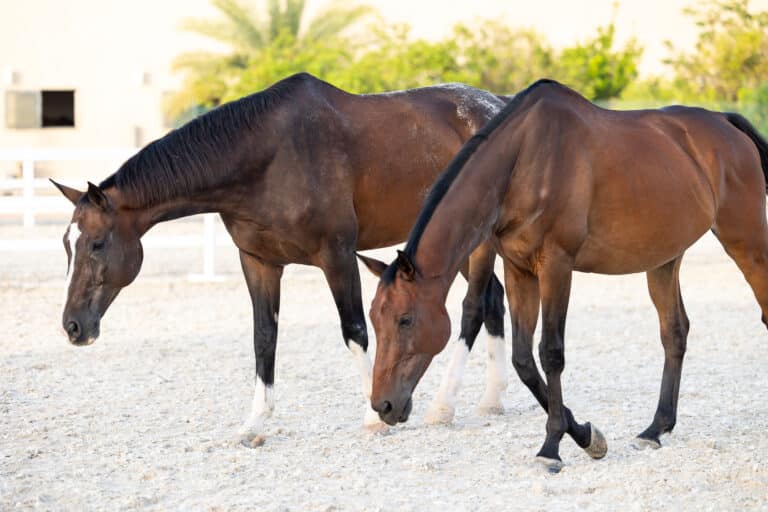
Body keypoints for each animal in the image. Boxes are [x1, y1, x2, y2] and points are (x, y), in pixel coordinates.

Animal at [52, 73, 510, 448]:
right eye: (66, 244)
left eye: (96, 244)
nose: (73, 327)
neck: (269, 157)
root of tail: (497, 104)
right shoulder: (258, 262)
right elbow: (264, 338)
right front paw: (254, 424)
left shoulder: (337, 255)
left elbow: (355, 330)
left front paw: (373, 418)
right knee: (493, 300)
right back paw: (492, 400)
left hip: (477, 241)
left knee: (473, 307)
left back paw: (444, 406)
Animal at [360, 77, 768, 472]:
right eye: (375, 320)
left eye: (405, 320)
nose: (383, 405)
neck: (522, 162)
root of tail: (725, 123)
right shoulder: (519, 270)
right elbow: (524, 360)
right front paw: (587, 436)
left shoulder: (556, 266)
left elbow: (551, 353)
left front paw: (552, 446)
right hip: (664, 260)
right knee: (674, 332)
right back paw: (655, 429)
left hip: (746, 242)